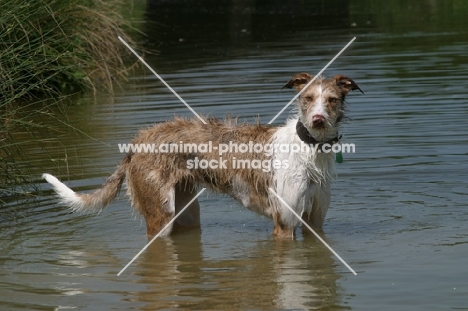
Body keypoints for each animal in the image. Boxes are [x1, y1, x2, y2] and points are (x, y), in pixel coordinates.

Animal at [43, 73, 362, 239]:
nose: (318, 120)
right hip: (160, 216)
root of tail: (137, 142)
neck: (310, 151)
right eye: (307, 99)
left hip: (186, 212)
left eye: (332, 100)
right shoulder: (284, 224)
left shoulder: (315, 222)